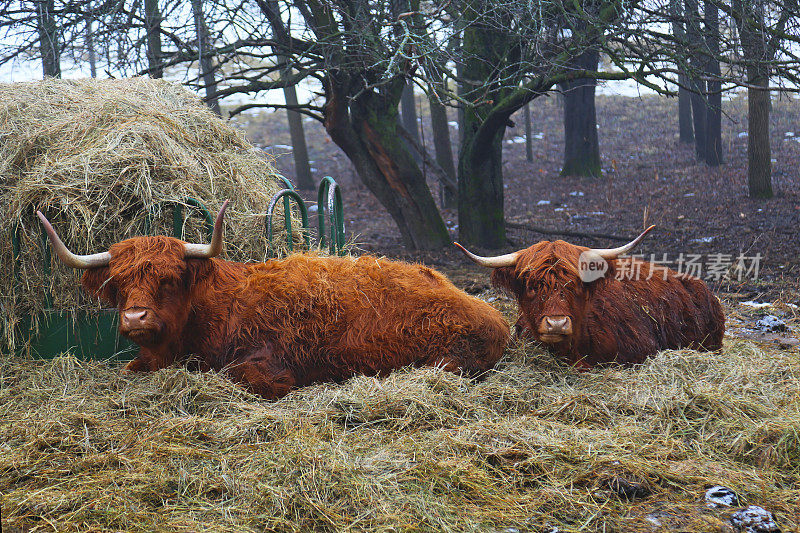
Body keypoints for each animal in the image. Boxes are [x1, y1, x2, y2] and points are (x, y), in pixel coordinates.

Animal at [37, 202, 506, 396]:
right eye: (117, 284)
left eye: (168, 279)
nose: (135, 318)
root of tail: (491, 315)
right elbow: (131, 367)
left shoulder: (268, 368)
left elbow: (237, 376)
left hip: (445, 359)